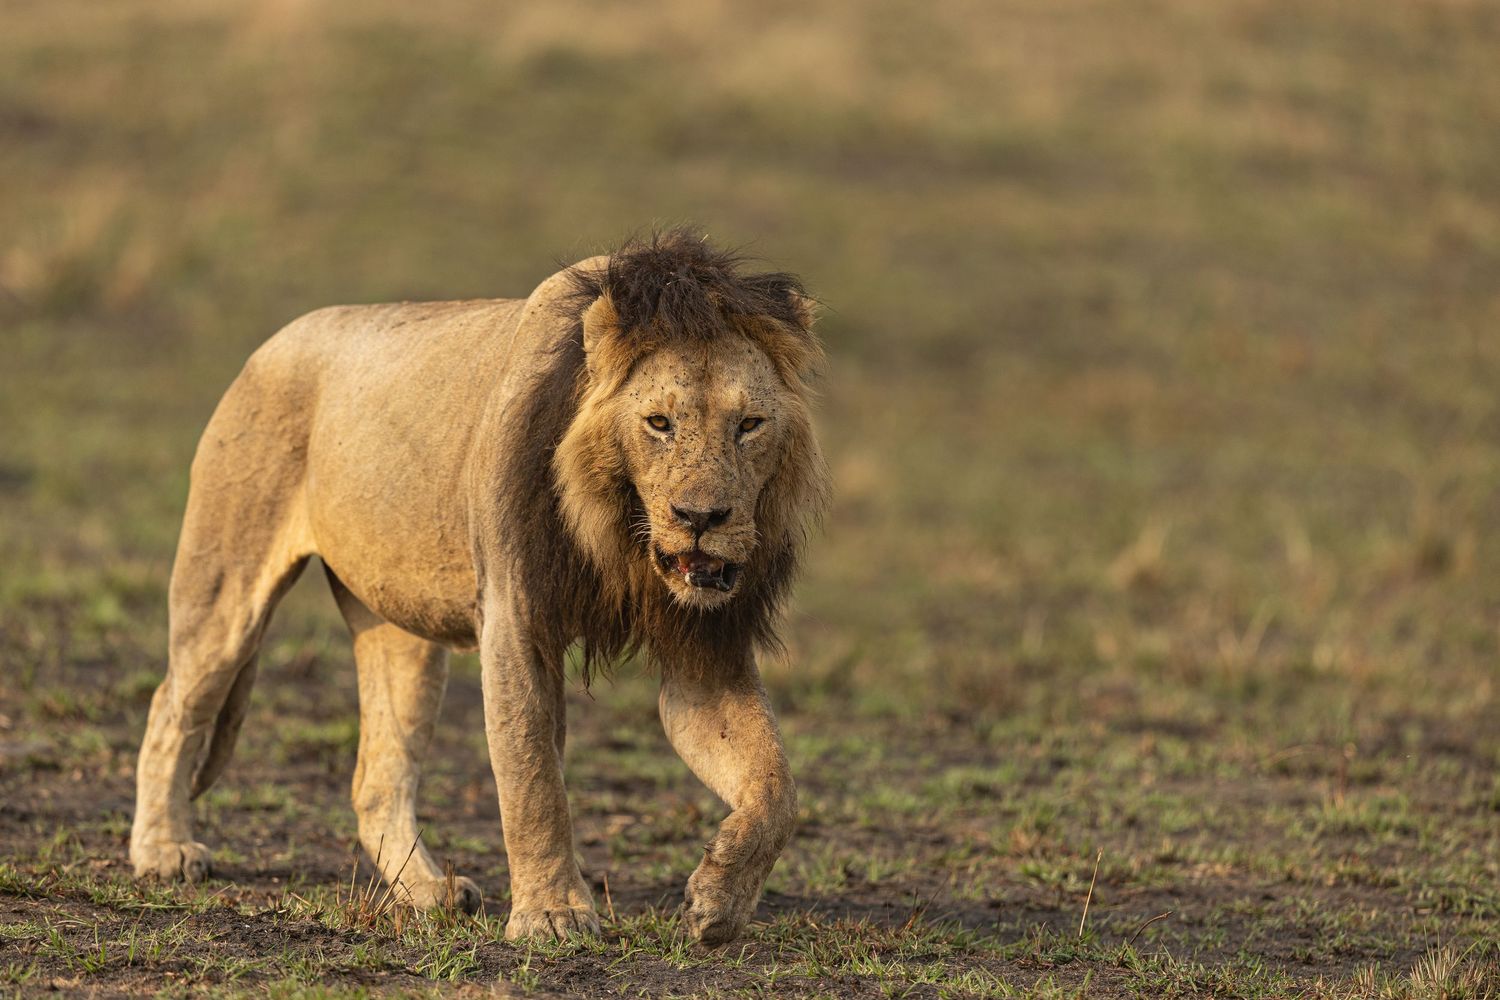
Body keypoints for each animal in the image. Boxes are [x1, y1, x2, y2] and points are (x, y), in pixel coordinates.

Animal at [129, 230, 831, 945]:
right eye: (659, 422)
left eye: (749, 425)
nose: (700, 518)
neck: (620, 539)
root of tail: (271, 344)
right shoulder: (515, 619)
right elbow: (534, 779)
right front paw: (552, 916)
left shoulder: (704, 651)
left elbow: (777, 786)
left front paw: (718, 902)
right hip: (226, 586)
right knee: (173, 703)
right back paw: (164, 851)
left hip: (401, 630)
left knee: (379, 777)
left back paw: (427, 892)